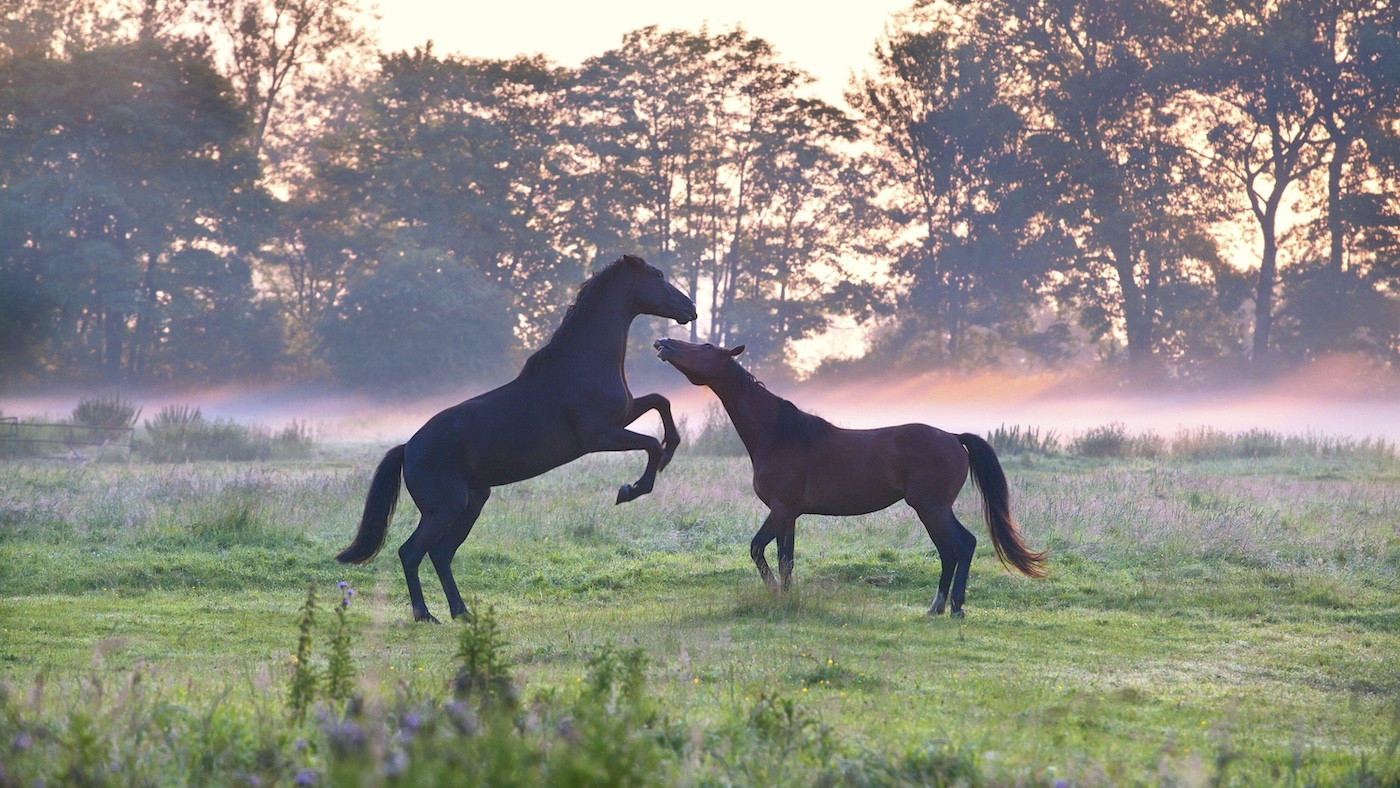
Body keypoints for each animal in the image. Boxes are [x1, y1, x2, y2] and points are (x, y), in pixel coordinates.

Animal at [336, 255, 697, 622]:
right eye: (657, 276)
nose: (692, 308)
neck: (582, 366)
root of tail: (408, 448)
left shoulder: (622, 417)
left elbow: (661, 402)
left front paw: (670, 450)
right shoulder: (600, 435)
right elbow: (650, 444)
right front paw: (631, 490)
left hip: (472, 502)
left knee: (441, 553)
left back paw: (461, 611)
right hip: (444, 508)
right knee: (411, 552)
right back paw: (426, 615)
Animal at [653, 338, 1046, 617]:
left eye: (706, 347)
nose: (663, 342)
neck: (780, 435)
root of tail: (953, 437)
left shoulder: (780, 509)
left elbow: (760, 550)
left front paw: (775, 595)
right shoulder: (789, 515)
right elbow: (785, 558)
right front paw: (786, 598)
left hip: (932, 508)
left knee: (961, 546)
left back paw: (955, 608)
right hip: (931, 510)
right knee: (950, 552)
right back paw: (935, 608)